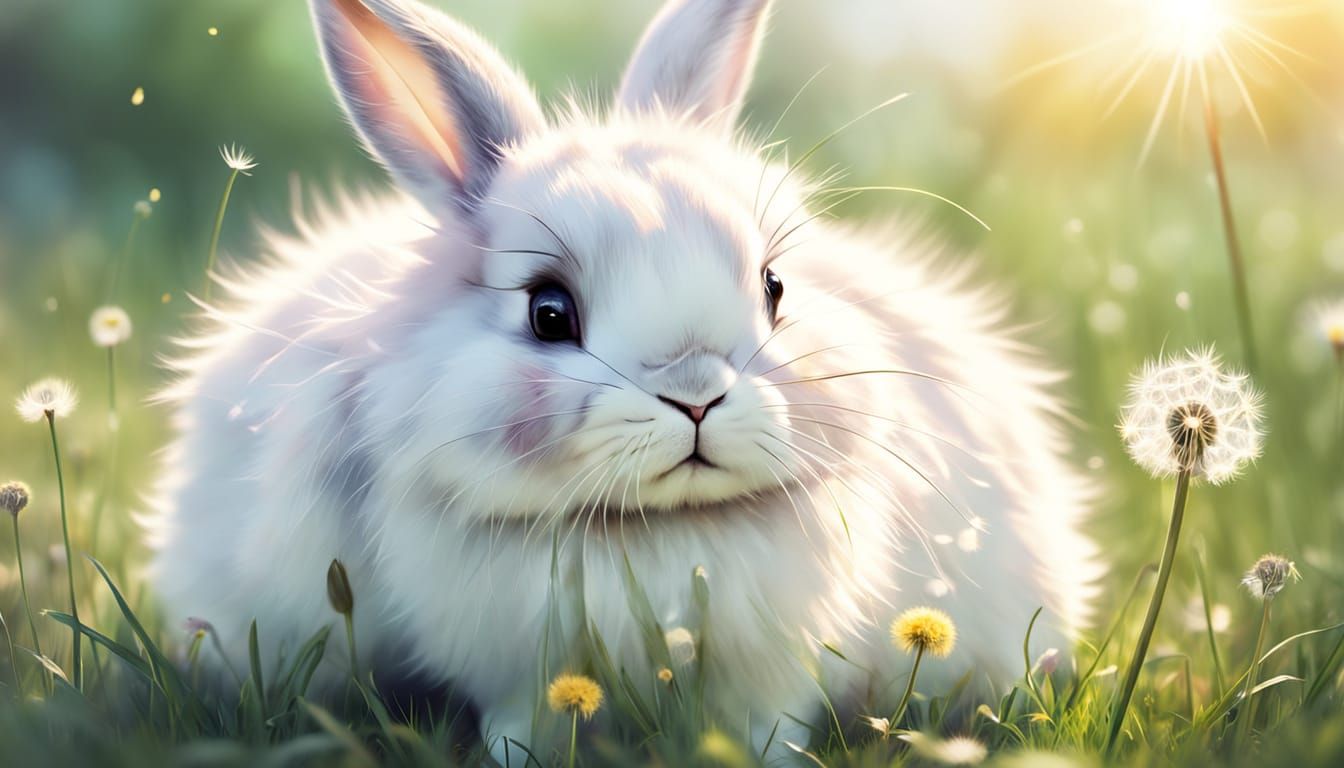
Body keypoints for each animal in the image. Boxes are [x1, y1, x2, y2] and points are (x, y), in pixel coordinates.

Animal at [147, 0, 1099, 758]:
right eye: (548, 312)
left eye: (774, 287)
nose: (696, 392)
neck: (655, 530)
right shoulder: (516, 673)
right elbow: (520, 729)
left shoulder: (770, 676)